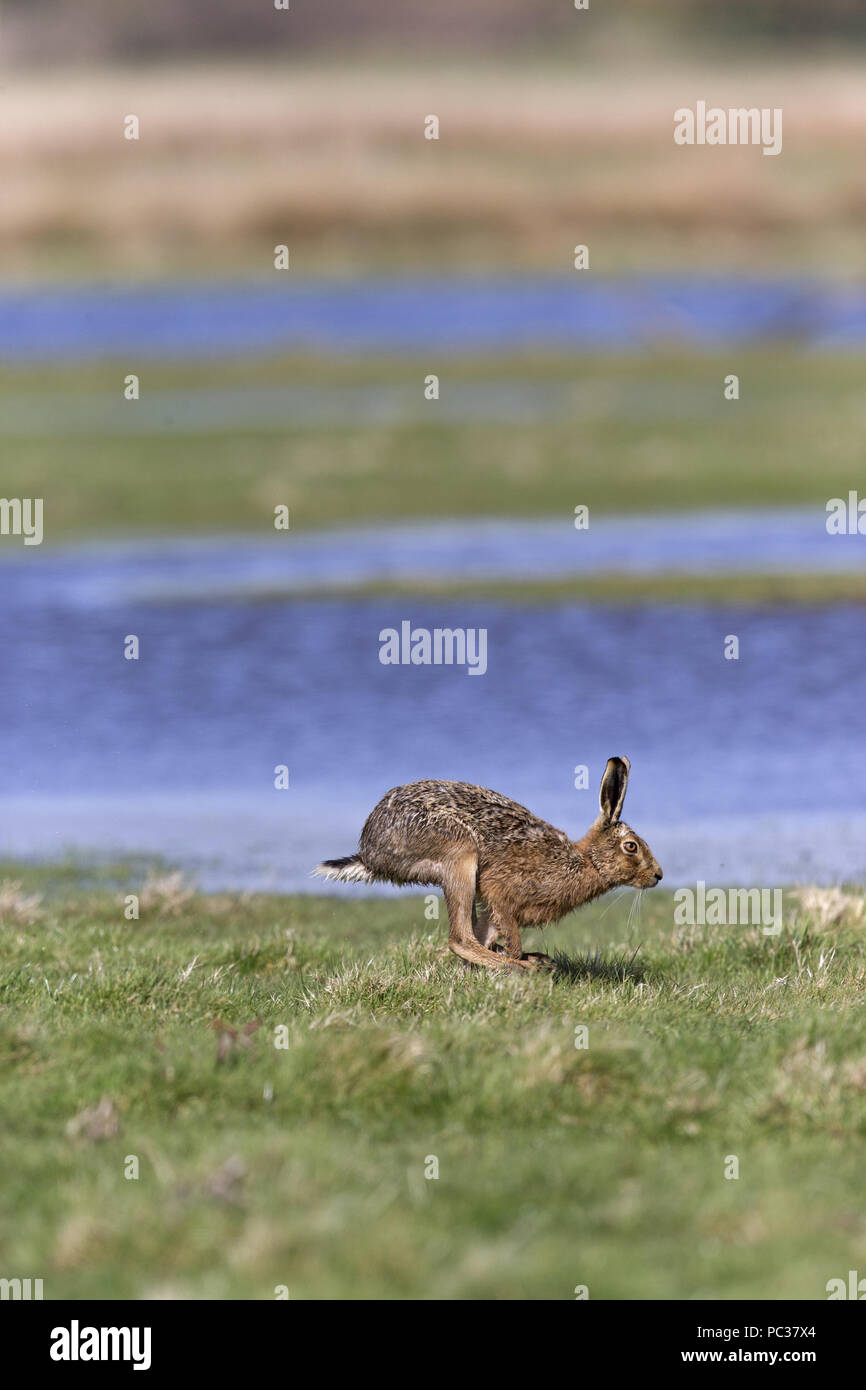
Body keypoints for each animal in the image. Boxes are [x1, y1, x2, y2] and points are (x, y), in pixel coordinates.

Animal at [314, 756, 662, 972]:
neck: (585, 860)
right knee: (460, 939)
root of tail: (370, 850)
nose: (657, 876)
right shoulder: (502, 894)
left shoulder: (495, 909)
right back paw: (523, 967)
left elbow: (490, 934)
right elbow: (507, 938)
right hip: (459, 855)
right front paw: (519, 961)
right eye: (631, 847)